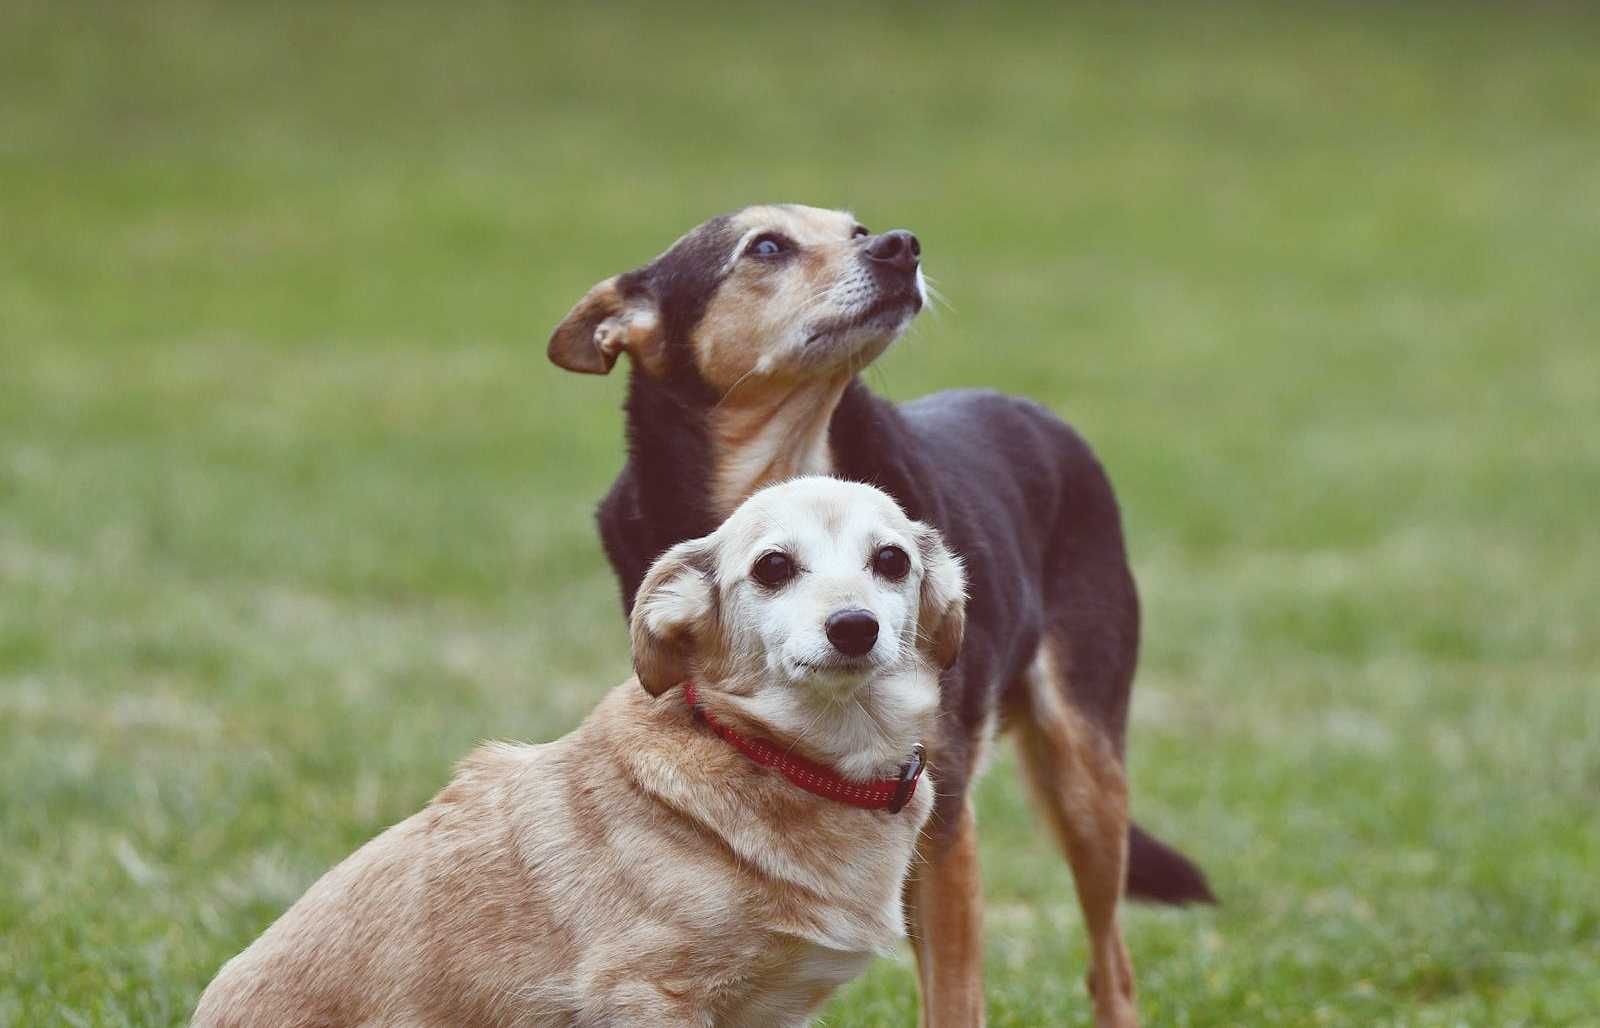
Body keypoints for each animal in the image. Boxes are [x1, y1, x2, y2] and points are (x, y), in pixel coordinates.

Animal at [550, 204, 1209, 1018]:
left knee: (1109, 963)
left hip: (1086, 768)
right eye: (766, 246)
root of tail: (1032, 409)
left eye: (856, 229)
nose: (901, 247)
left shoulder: (941, 814)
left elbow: (954, 1002)